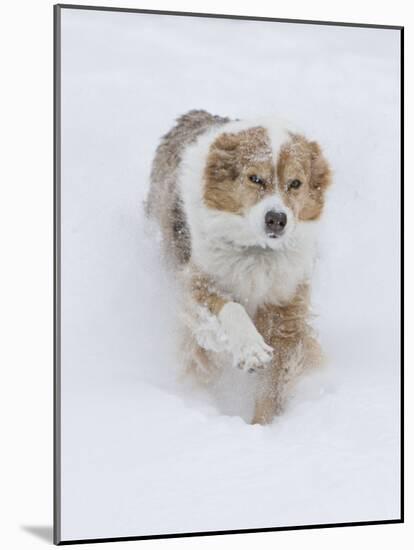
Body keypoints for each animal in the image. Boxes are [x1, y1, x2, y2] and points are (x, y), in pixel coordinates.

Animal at [147, 110, 332, 424]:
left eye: (296, 183)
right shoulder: (195, 282)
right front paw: (251, 349)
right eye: (255, 178)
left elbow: (273, 383)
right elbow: (230, 308)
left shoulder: (286, 306)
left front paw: (263, 426)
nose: (276, 219)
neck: (258, 252)